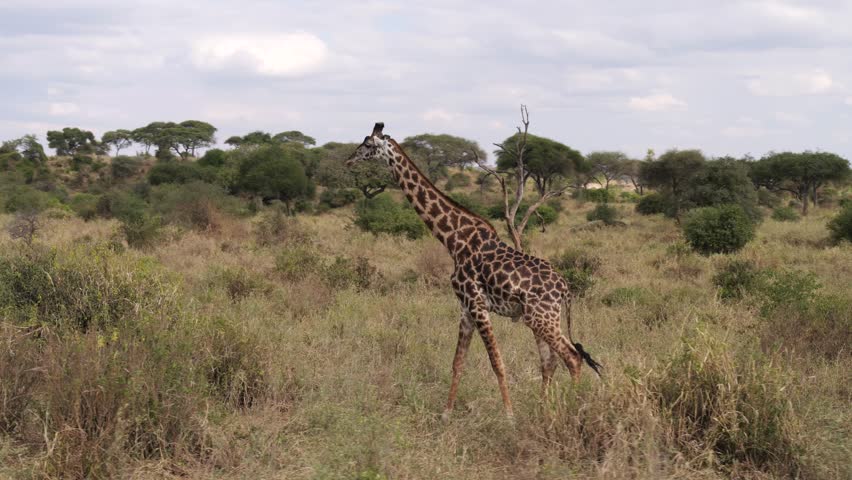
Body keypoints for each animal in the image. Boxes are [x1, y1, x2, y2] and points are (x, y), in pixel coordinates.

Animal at [347, 123, 602, 419]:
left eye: (366, 145)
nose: (349, 160)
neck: (453, 240)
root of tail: (565, 288)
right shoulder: (465, 307)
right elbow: (458, 362)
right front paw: (446, 414)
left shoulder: (477, 304)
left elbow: (496, 362)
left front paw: (509, 416)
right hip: (543, 318)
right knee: (550, 362)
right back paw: (543, 411)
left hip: (541, 318)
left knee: (572, 357)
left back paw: (574, 408)